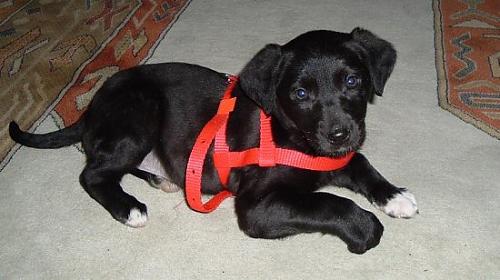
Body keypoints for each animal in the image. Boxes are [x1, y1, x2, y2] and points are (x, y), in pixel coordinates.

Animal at [10, 27, 418, 254]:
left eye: (353, 81)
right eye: (301, 94)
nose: (339, 134)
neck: (291, 134)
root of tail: (90, 107)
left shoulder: (333, 157)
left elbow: (360, 164)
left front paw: (393, 195)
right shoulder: (257, 208)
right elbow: (329, 203)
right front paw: (365, 227)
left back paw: (159, 178)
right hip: (140, 113)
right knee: (93, 174)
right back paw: (129, 208)